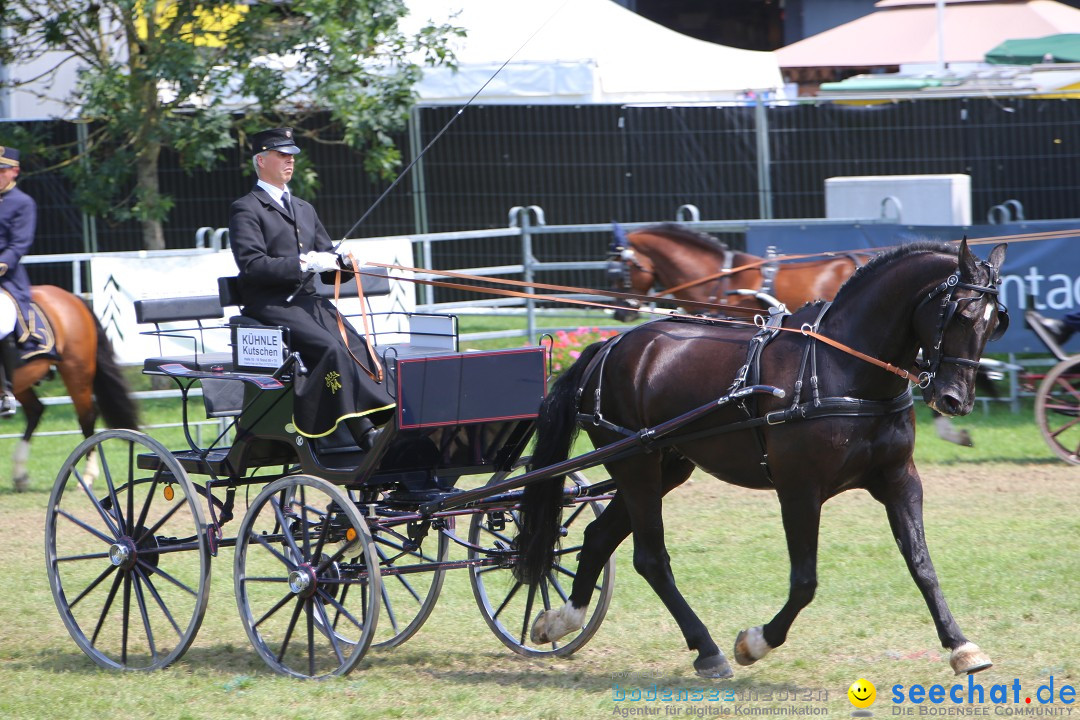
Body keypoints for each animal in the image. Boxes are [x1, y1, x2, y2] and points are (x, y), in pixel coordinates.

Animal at [8, 284, 139, 490]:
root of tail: (72, 297)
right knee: (35, 410)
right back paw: (20, 474)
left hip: (76, 370)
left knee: (86, 417)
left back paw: (88, 476)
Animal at [511, 239, 1002, 677]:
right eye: (962, 313)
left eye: (997, 322)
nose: (955, 400)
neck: (843, 369)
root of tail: (609, 347)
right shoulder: (799, 489)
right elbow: (805, 581)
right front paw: (756, 642)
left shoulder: (899, 479)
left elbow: (922, 564)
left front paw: (962, 647)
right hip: (635, 466)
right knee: (650, 558)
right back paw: (707, 650)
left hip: (663, 465)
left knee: (598, 536)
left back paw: (563, 619)